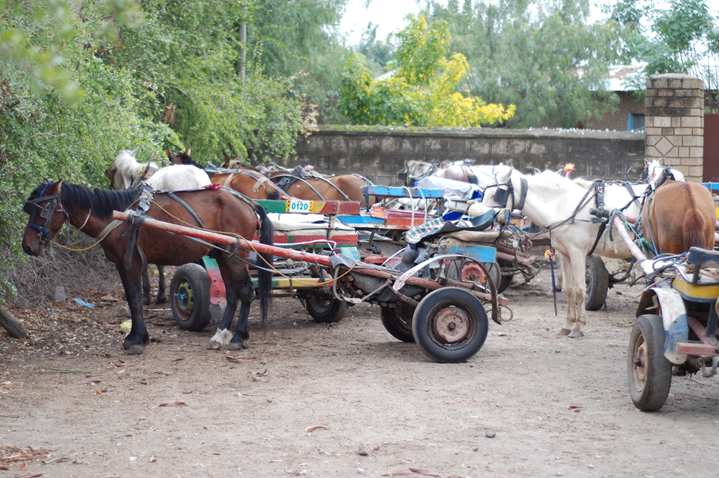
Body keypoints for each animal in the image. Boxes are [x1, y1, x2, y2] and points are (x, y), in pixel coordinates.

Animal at [22, 179, 274, 354]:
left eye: (44, 209)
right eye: (29, 209)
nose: (27, 246)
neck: (119, 216)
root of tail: (249, 204)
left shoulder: (130, 263)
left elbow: (135, 300)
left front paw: (138, 340)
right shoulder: (123, 265)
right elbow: (131, 299)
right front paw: (134, 337)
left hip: (236, 255)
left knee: (245, 292)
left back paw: (238, 337)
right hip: (223, 254)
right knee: (232, 293)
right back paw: (221, 335)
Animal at [480, 166, 648, 338]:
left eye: (495, 194)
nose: (483, 221)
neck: (563, 206)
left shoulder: (577, 253)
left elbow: (580, 288)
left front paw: (579, 327)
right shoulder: (566, 253)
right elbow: (570, 289)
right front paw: (568, 324)